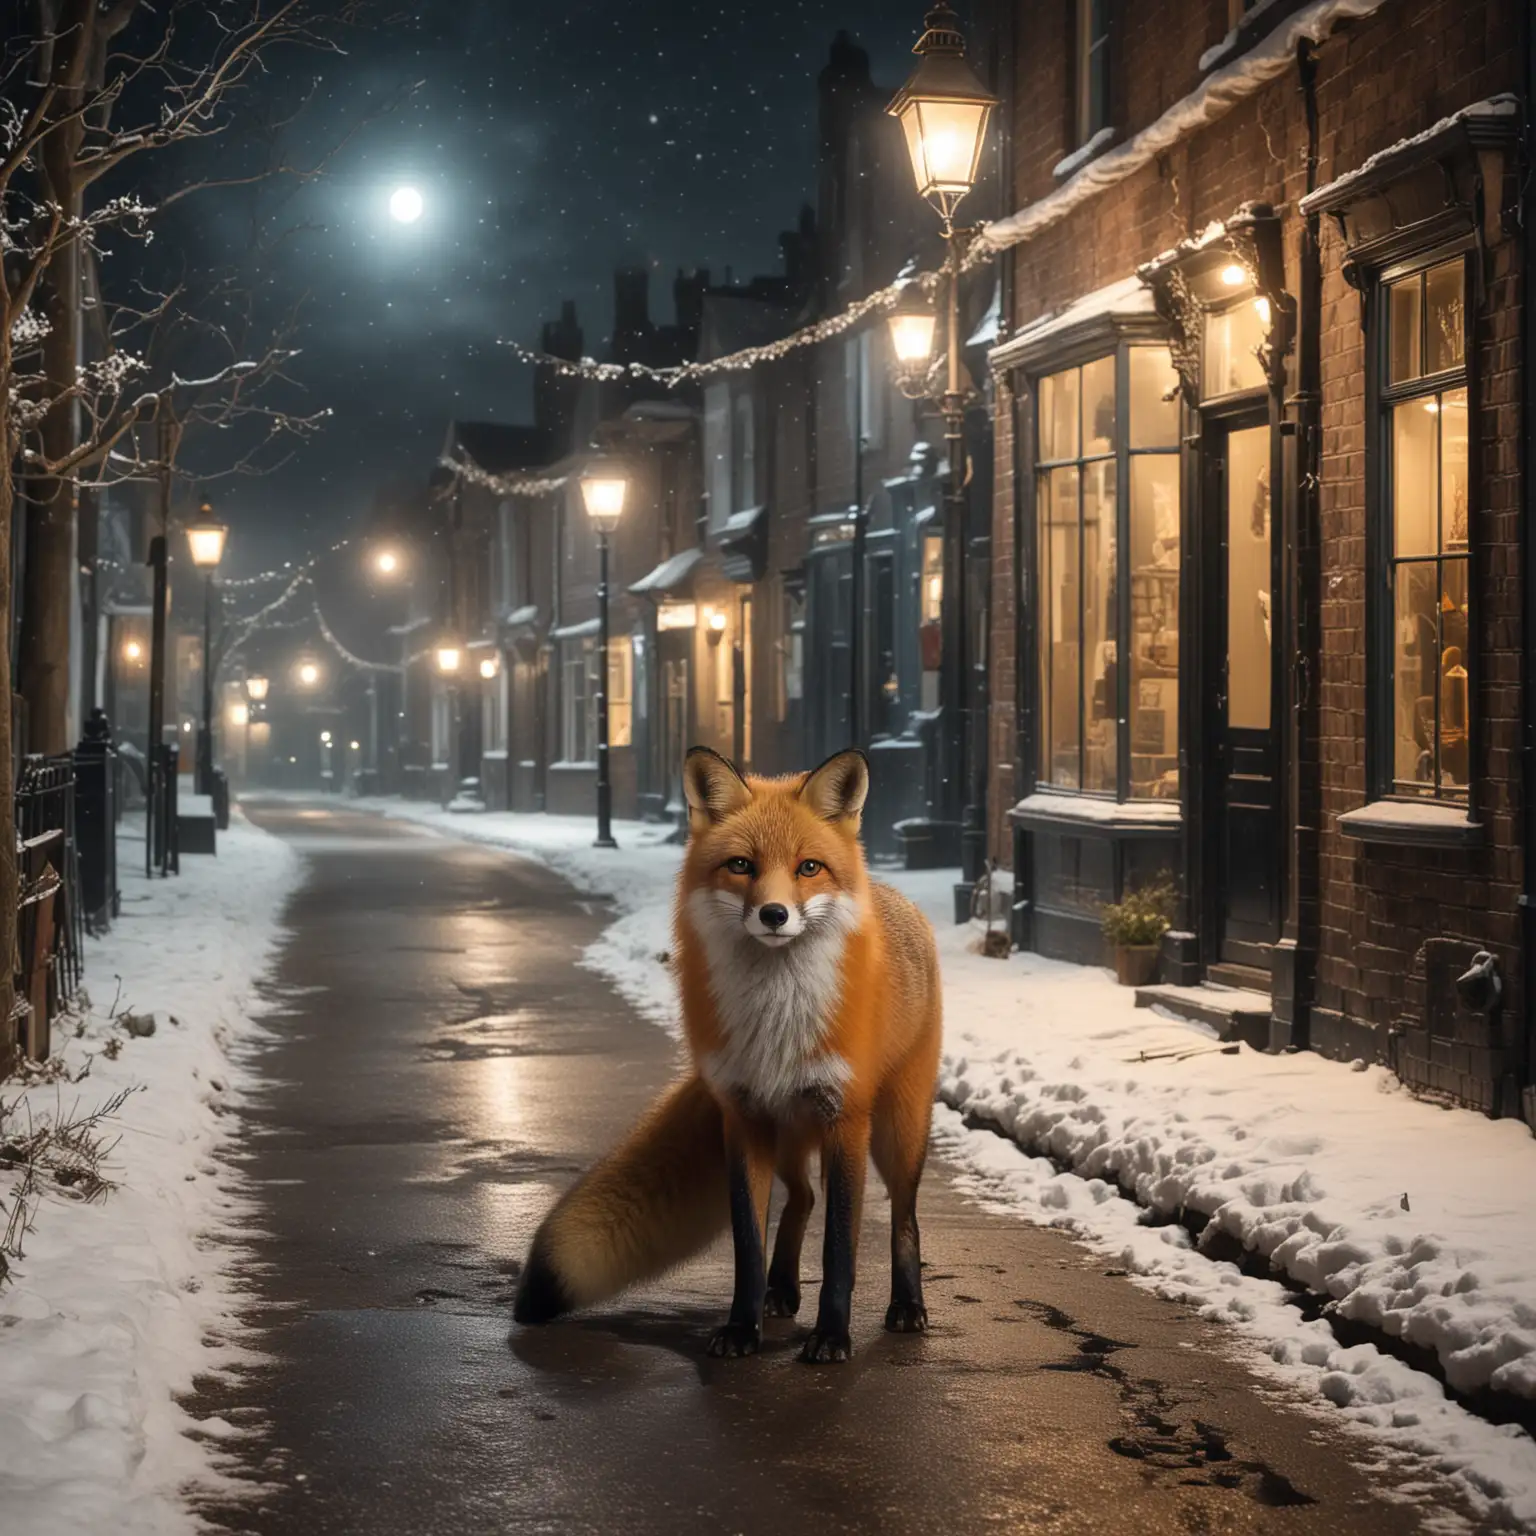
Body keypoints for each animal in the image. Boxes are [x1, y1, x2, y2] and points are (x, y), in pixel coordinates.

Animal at [516, 749, 940, 1363]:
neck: (776, 1019)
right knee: (802, 1198)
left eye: (808, 868)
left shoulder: (845, 1118)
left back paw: (906, 1305)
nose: (774, 915)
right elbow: (748, 1243)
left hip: (895, 1130)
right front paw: (743, 1327)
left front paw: (831, 1335)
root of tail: (900, 897)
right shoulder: (742, 1116)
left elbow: (840, 1245)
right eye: (741, 865)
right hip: (790, 1131)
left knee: (902, 1216)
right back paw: (781, 1290)